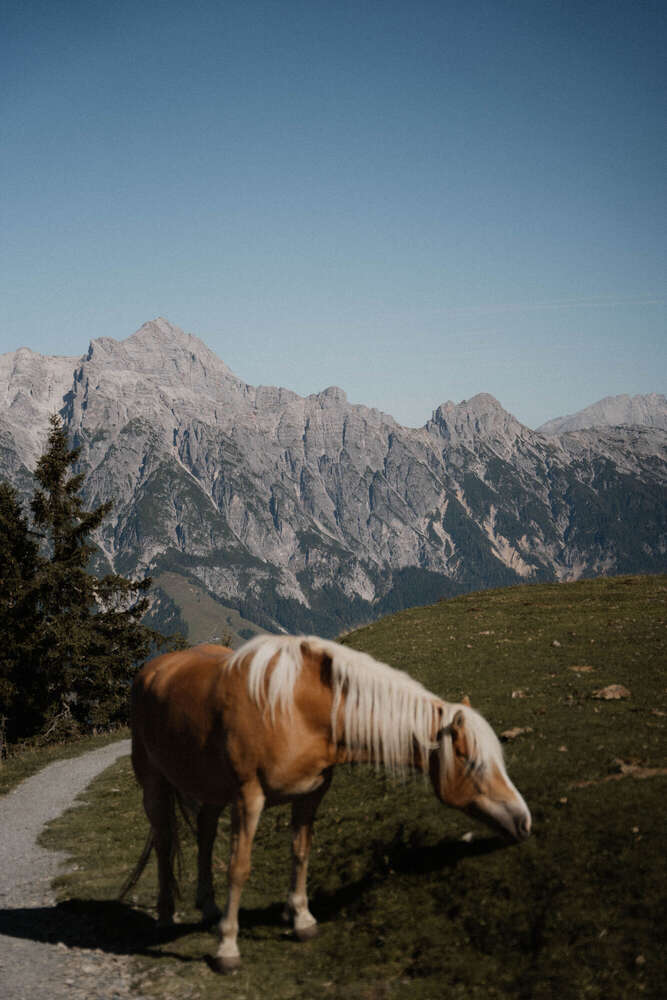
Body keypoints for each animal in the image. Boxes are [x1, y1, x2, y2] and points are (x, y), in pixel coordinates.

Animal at [121, 633, 531, 972]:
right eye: (475, 764)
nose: (523, 820)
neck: (298, 709)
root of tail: (152, 670)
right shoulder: (247, 798)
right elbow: (239, 868)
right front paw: (227, 949)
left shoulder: (311, 792)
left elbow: (301, 852)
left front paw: (302, 920)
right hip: (155, 784)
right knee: (163, 842)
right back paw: (165, 916)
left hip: (213, 792)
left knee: (205, 834)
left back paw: (208, 907)